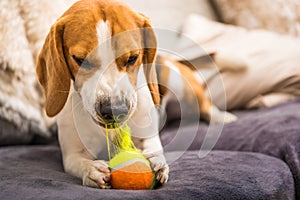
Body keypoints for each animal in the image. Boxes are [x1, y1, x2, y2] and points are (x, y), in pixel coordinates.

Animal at [35, 0, 237, 189]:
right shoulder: (71, 155)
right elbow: (78, 162)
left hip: (181, 85)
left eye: (133, 58)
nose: (115, 110)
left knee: (205, 105)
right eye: (80, 60)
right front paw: (91, 170)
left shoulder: (147, 134)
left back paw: (221, 117)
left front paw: (158, 161)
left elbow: (153, 146)